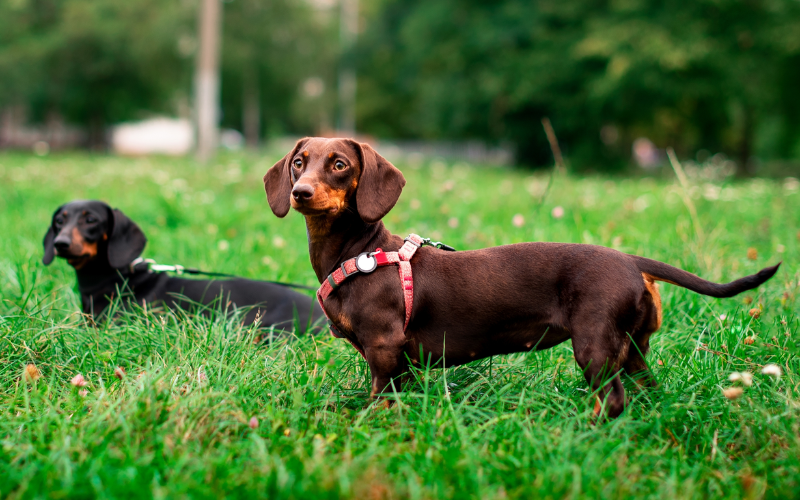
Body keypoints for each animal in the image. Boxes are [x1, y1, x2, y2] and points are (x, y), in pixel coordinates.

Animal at [264, 137, 780, 418]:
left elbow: (378, 399)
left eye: (340, 164)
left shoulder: (385, 351)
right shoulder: (399, 363)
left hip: (595, 343)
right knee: (643, 392)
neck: (361, 250)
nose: (300, 192)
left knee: (612, 399)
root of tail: (632, 261)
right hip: (632, 350)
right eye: (298, 162)